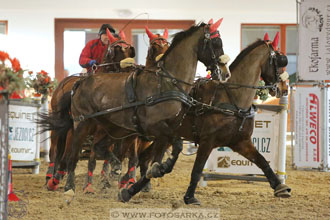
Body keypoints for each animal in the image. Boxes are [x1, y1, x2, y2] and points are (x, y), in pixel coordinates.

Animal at [123, 32, 292, 205]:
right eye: (280, 60)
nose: (284, 88)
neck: (232, 99)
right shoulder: (207, 141)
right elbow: (197, 170)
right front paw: (189, 197)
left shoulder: (241, 142)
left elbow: (262, 161)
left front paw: (280, 187)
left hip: (163, 137)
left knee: (145, 159)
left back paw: (133, 189)